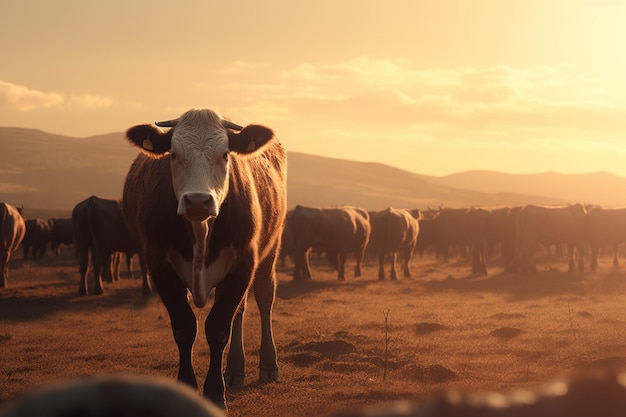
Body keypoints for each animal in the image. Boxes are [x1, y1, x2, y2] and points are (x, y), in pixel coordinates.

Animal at [119, 108, 286, 410]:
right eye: (173, 154)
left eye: (225, 154)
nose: (198, 200)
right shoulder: (161, 267)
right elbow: (185, 329)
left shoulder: (243, 265)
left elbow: (218, 329)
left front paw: (215, 393)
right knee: (240, 311)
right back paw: (235, 369)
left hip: (271, 249)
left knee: (264, 297)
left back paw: (268, 365)